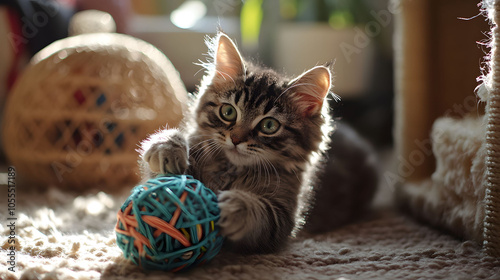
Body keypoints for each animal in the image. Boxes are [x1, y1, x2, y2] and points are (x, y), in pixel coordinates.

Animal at [139, 33, 376, 254]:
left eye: (269, 125)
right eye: (228, 112)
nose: (236, 139)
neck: (231, 169)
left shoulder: (283, 218)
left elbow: (260, 214)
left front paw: (236, 209)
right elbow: (159, 179)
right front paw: (167, 147)